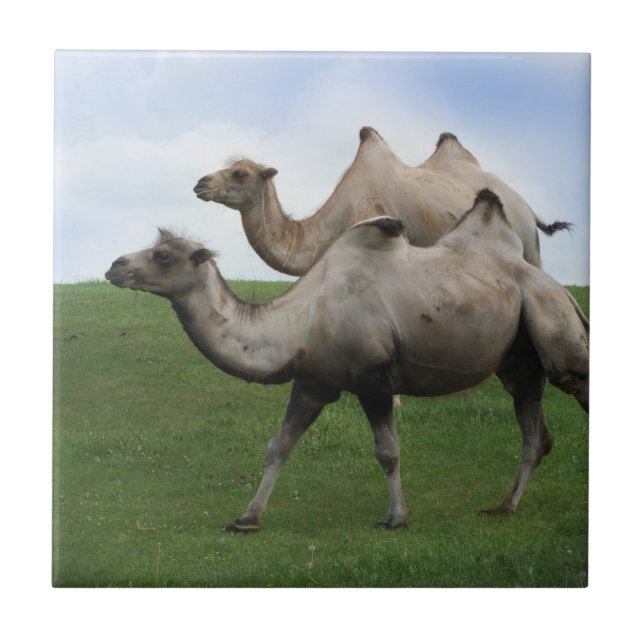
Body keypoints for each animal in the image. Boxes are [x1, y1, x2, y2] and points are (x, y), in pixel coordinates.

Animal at [106, 190, 588, 532]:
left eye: (163, 255)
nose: (114, 266)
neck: (301, 321)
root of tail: (556, 286)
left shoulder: (373, 376)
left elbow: (387, 451)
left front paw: (396, 518)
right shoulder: (313, 382)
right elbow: (278, 446)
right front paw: (247, 519)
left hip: (555, 326)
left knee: (573, 387)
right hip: (519, 361)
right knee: (536, 435)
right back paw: (503, 506)